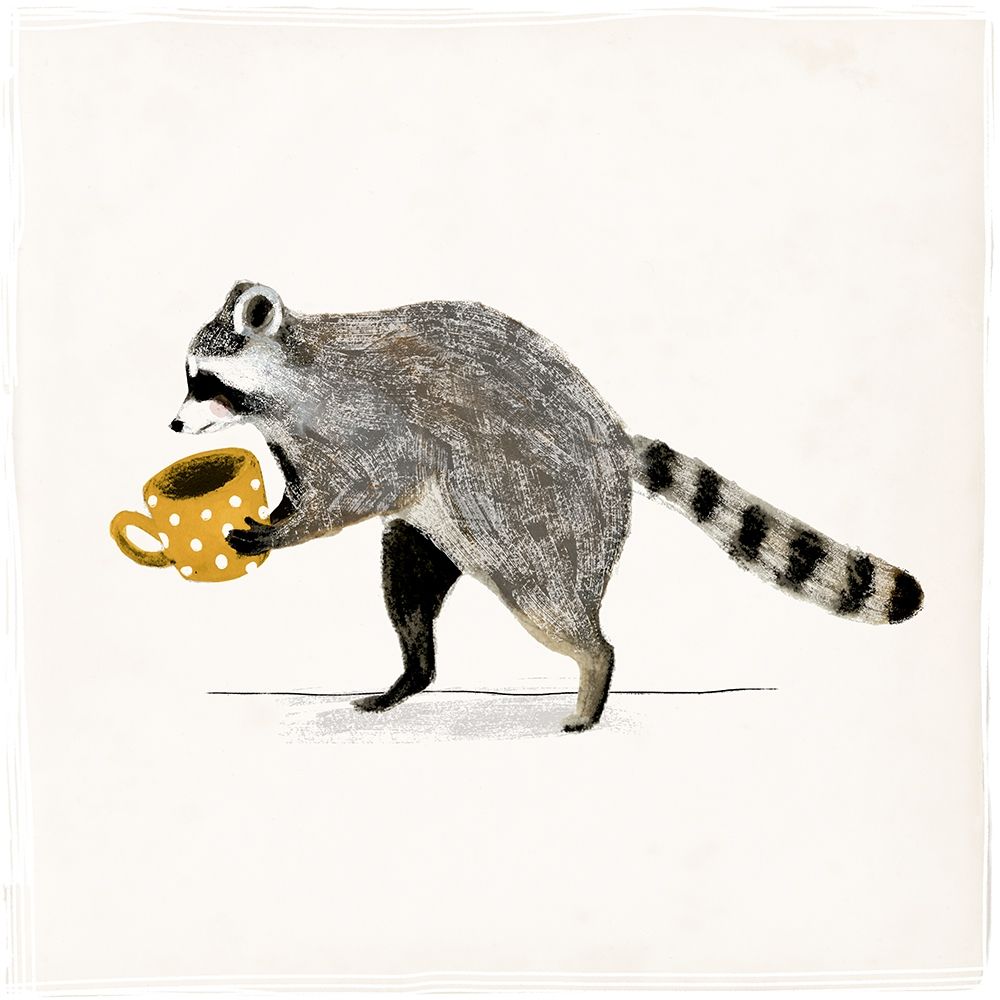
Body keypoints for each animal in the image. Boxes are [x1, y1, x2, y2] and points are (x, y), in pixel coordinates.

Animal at [171, 281, 923, 732]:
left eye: (205, 383)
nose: (175, 424)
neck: (292, 378)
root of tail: (613, 439)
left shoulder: (367, 422)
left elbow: (359, 489)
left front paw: (281, 532)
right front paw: (277, 518)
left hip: (542, 513)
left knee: (551, 605)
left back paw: (594, 669)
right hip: (459, 524)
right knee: (407, 577)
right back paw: (414, 672)